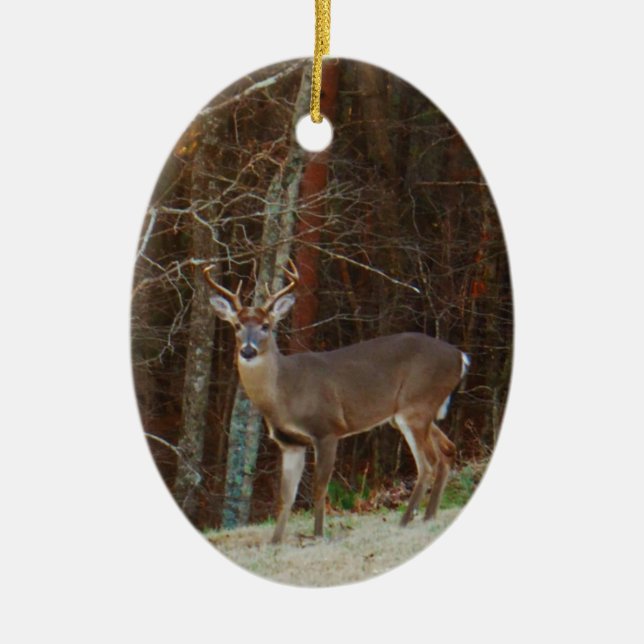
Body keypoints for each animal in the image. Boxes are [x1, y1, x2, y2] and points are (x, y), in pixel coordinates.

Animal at [204, 260, 470, 544]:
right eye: (237, 325)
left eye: (266, 325)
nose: (248, 350)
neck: (284, 393)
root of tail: (460, 356)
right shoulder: (290, 443)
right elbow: (285, 497)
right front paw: (275, 542)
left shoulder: (327, 429)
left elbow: (319, 488)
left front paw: (318, 535)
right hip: (413, 413)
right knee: (447, 450)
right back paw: (428, 516)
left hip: (415, 406)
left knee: (427, 463)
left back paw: (405, 521)